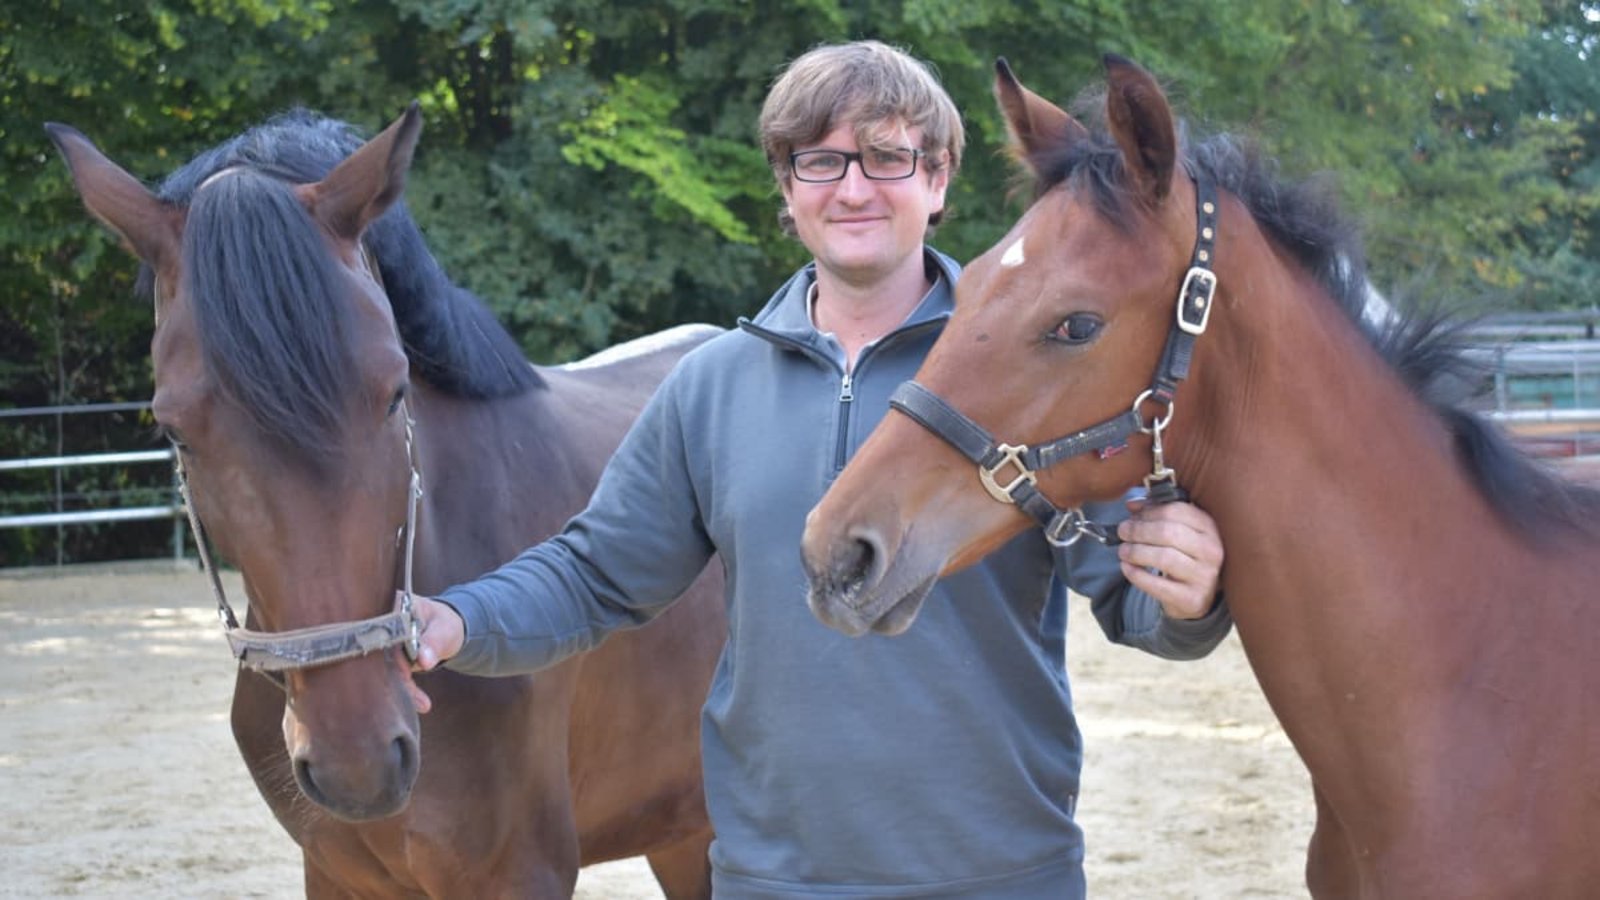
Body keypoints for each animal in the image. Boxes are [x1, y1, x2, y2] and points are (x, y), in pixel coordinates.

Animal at [48, 104, 725, 897]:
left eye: (396, 391)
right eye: (173, 429)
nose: (358, 760)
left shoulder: (522, 872)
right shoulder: (334, 874)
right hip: (682, 833)